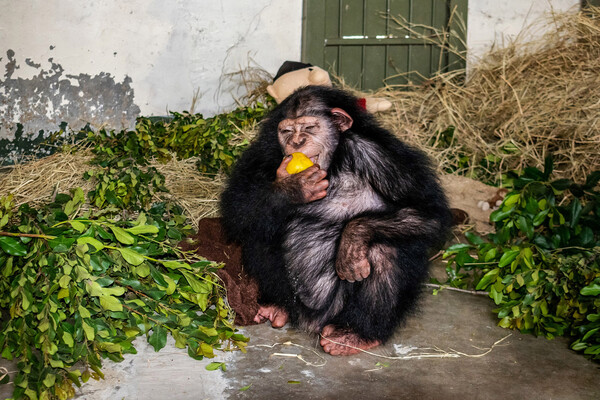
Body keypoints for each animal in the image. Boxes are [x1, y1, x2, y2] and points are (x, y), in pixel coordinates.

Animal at [220, 86, 450, 354]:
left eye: (309, 128)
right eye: (286, 131)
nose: (296, 142)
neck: (332, 163)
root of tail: (310, 322)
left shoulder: (376, 154)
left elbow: (428, 210)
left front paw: (353, 238)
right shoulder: (263, 154)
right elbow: (239, 207)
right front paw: (293, 187)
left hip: (336, 310)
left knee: (384, 250)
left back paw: (355, 334)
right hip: (295, 299)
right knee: (259, 229)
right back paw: (277, 307)